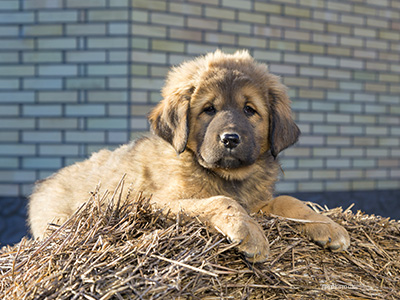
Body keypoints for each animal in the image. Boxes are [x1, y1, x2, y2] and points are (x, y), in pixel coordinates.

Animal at [28, 50, 348, 262]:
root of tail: (44, 183)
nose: (230, 139)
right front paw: (250, 232)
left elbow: (290, 201)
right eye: (209, 109)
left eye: (249, 109)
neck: (227, 176)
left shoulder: (258, 202)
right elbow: (220, 201)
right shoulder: (159, 202)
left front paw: (328, 226)